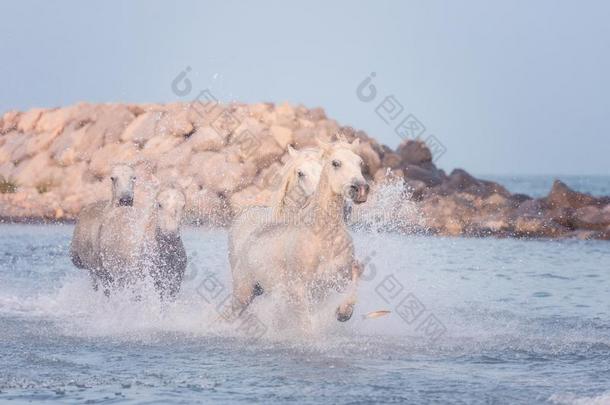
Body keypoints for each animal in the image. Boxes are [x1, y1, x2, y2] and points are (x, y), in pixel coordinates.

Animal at [232, 139, 366, 322]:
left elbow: (356, 275)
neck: (324, 237)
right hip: (243, 294)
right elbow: (306, 323)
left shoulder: (338, 279)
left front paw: (344, 312)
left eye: (360, 163)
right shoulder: (299, 289)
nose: (360, 189)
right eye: (335, 163)